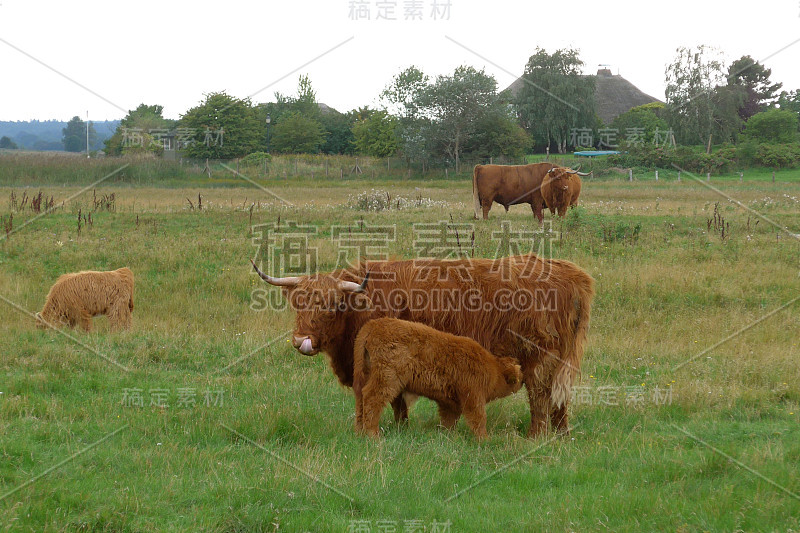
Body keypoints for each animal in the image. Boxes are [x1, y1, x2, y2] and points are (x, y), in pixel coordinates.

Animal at [354, 318, 520, 438]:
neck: (494, 369)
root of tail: (374, 324)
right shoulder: (473, 395)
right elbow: (478, 418)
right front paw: (484, 439)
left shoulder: (451, 403)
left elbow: (449, 421)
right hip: (387, 379)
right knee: (372, 398)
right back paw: (373, 434)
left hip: (365, 375)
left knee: (360, 398)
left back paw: (359, 431)